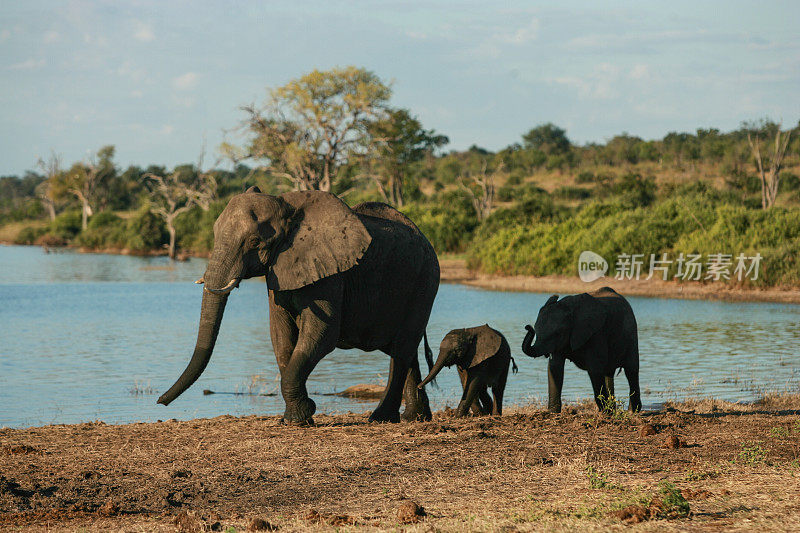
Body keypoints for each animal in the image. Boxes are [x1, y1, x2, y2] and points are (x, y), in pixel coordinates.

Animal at [155, 187, 438, 424]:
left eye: (254, 242)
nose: (159, 401)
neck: (288, 209)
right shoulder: (279, 274)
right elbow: (281, 337)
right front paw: (295, 419)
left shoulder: (330, 274)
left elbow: (321, 335)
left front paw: (302, 416)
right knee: (407, 350)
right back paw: (416, 418)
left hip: (424, 284)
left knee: (401, 351)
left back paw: (380, 419)